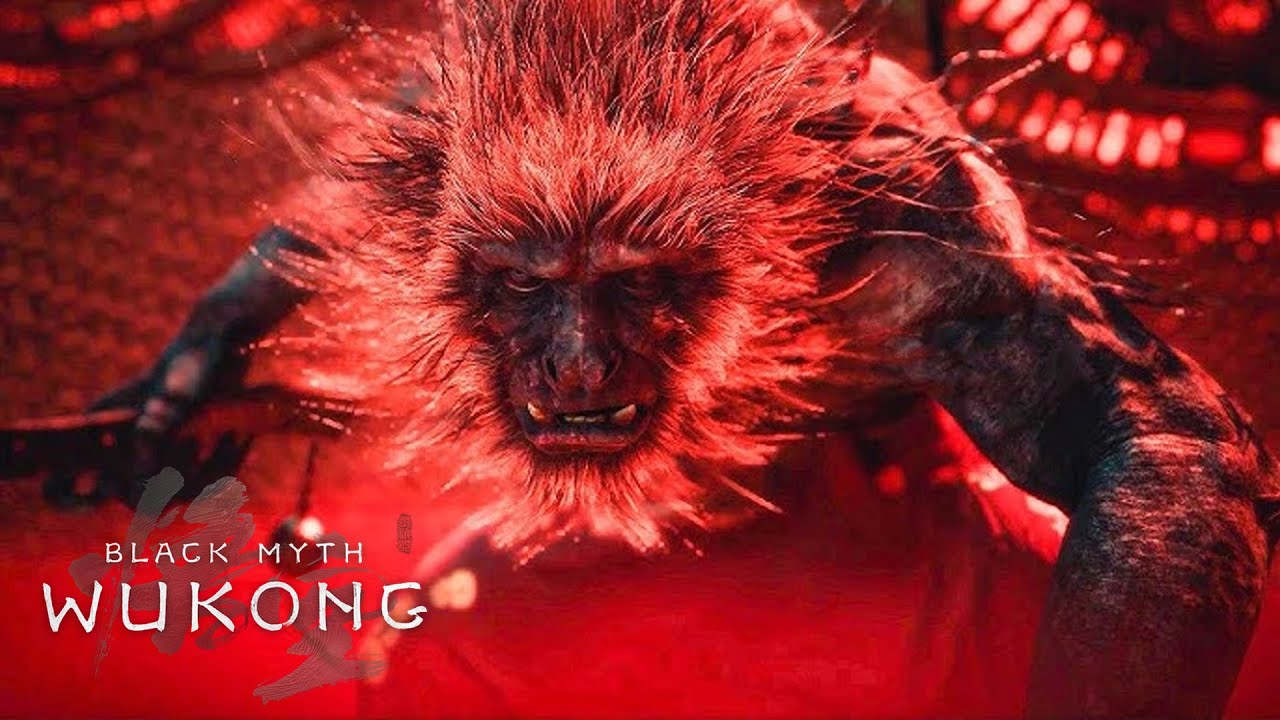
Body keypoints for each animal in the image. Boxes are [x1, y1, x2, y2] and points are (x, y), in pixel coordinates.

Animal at [63, 1, 1279, 717]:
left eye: (637, 285)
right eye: (524, 286)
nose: (576, 374)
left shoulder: (939, 236)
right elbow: (311, 222)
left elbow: (1139, 425)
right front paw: (187, 372)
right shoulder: (420, 119)